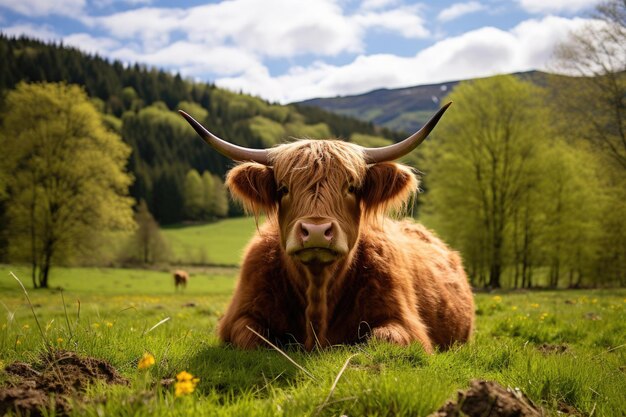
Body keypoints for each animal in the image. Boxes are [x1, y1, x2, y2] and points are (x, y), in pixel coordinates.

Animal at [178, 103, 470, 352]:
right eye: (283, 188)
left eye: (351, 187)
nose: (316, 231)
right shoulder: (240, 317)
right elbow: (255, 339)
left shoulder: (403, 322)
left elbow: (381, 339)